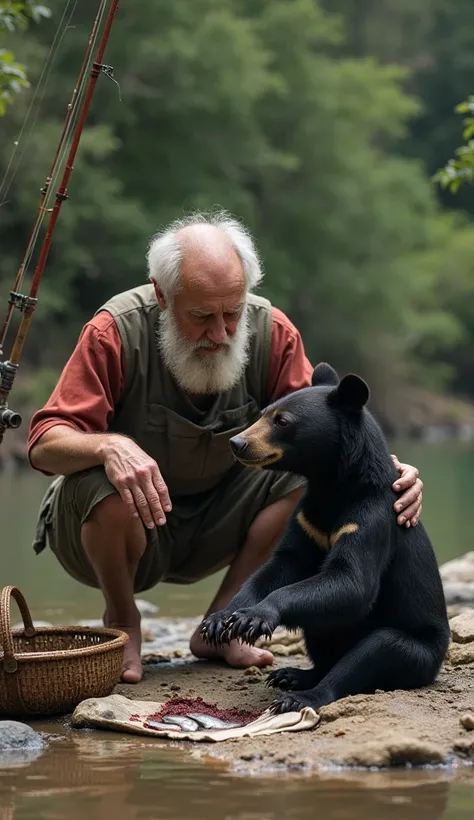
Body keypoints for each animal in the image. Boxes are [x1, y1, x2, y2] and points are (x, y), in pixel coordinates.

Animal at [198, 362, 450, 716]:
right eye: (262, 413)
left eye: (283, 421)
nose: (237, 443)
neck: (331, 484)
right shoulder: (308, 519)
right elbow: (280, 565)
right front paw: (221, 620)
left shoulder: (370, 519)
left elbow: (352, 581)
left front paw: (254, 617)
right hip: (324, 629)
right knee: (323, 639)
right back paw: (293, 675)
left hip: (419, 651)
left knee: (373, 653)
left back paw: (301, 696)